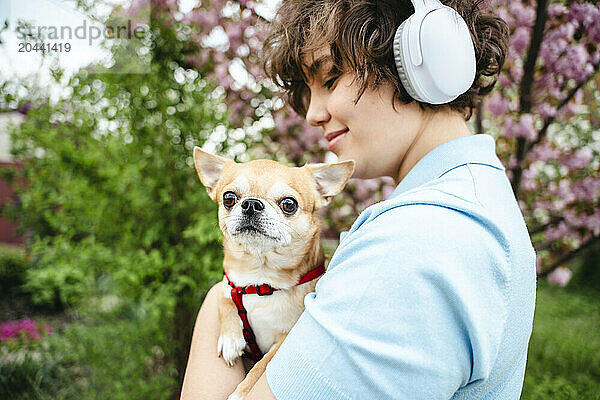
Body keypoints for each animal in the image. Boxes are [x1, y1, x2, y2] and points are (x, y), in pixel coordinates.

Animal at [192, 148, 354, 400]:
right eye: (229, 198)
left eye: (289, 204)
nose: (251, 204)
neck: (260, 278)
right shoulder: (230, 282)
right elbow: (225, 296)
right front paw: (230, 338)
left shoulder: (284, 338)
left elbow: (263, 364)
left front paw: (242, 392)